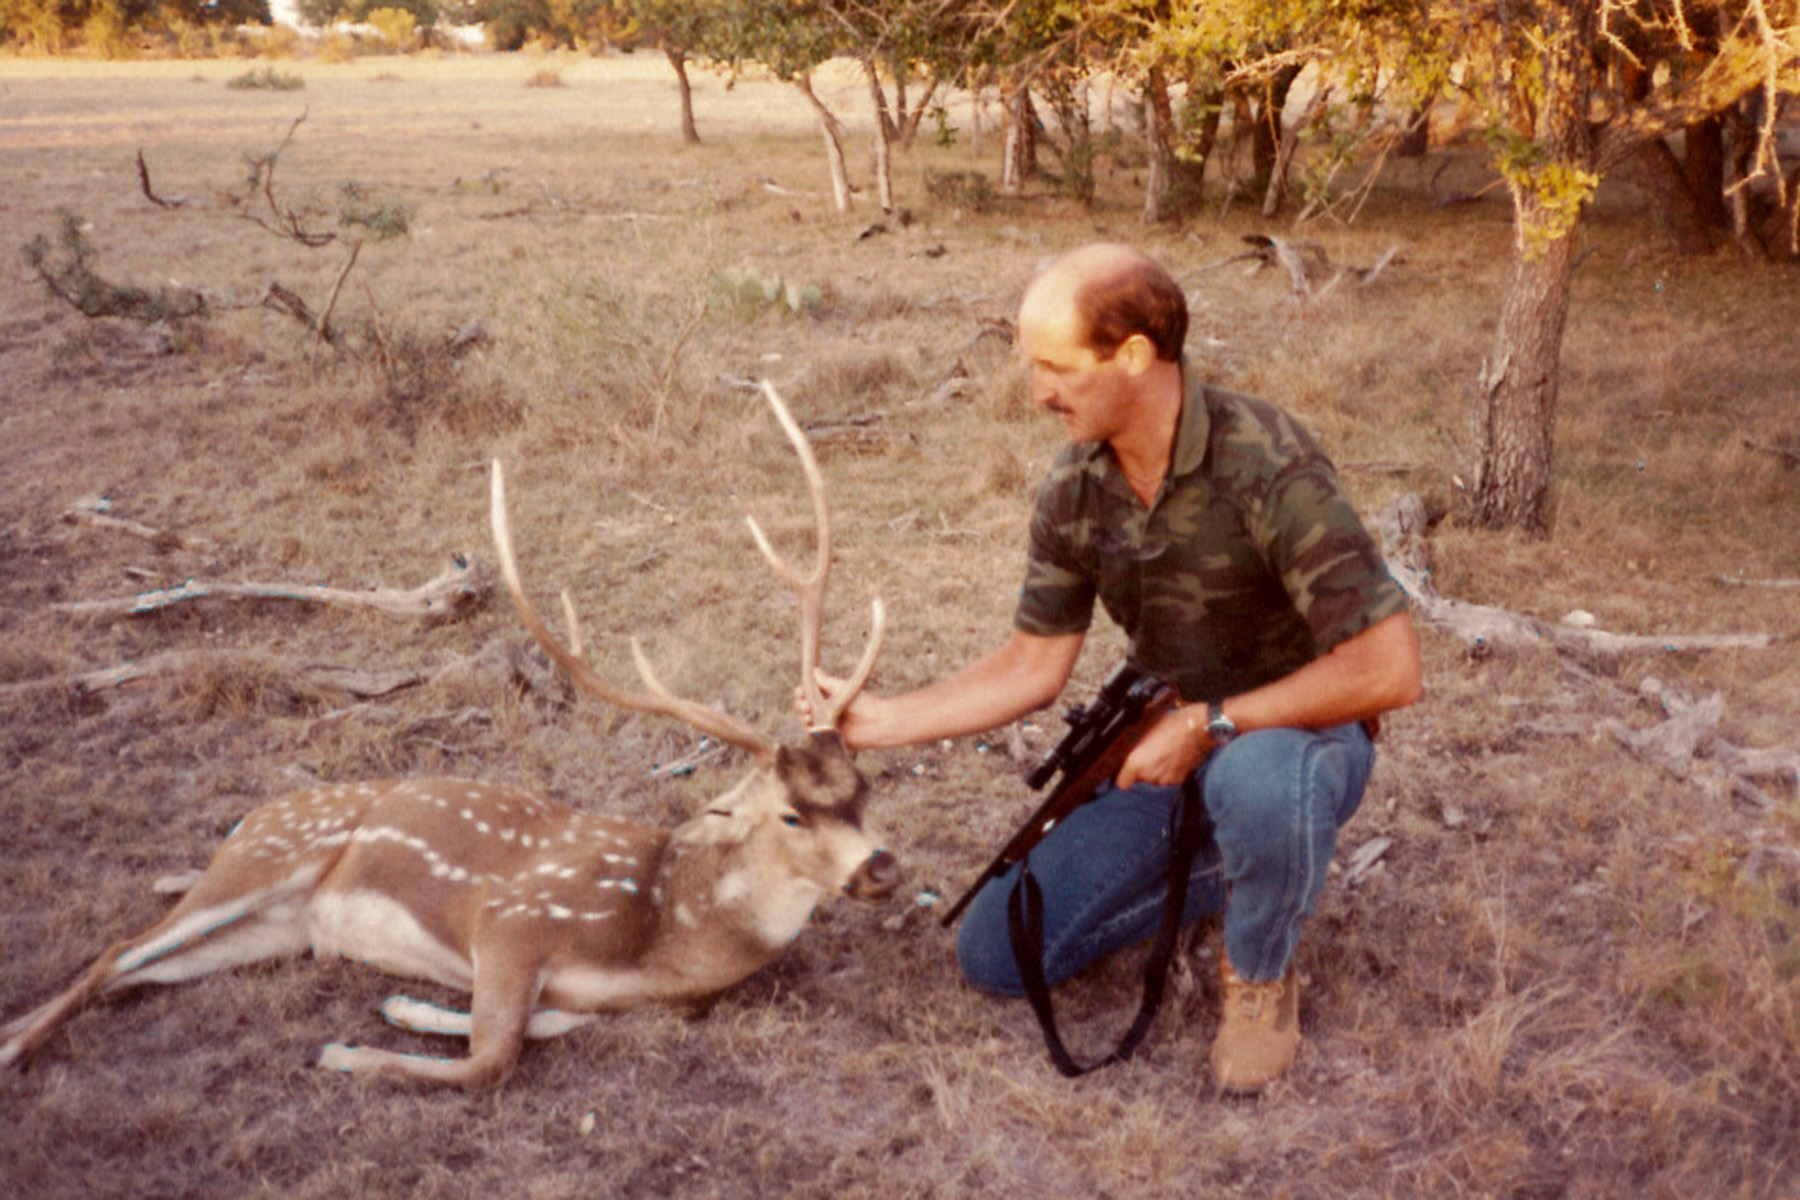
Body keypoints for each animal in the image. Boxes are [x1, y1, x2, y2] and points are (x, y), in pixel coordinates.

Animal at [0, 382, 898, 1088]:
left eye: (863, 787)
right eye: (790, 812)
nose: (882, 866)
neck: (664, 936)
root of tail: (249, 819)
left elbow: (538, 1026)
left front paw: (403, 1003)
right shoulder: (513, 917)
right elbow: (490, 1059)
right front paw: (345, 1051)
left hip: (272, 924)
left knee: (135, 971)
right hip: (263, 859)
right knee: (117, 949)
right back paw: (15, 1048)